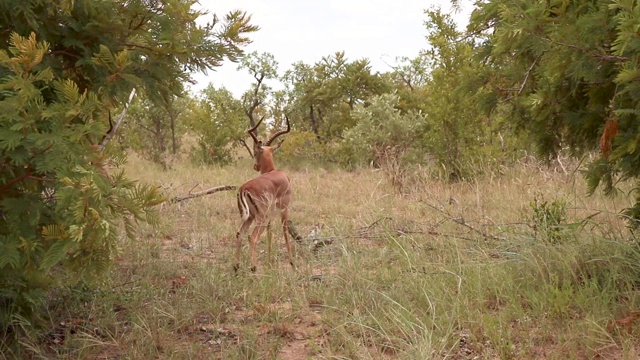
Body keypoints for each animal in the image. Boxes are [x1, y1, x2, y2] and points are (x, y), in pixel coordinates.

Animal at [235, 116, 296, 272]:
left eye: (256, 153)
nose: (255, 166)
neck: (275, 172)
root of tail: (244, 189)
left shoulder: (271, 215)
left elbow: (270, 233)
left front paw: (269, 263)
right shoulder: (284, 209)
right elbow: (285, 231)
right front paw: (292, 263)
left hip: (250, 217)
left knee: (239, 234)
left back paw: (236, 267)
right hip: (260, 217)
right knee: (252, 237)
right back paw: (253, 267)